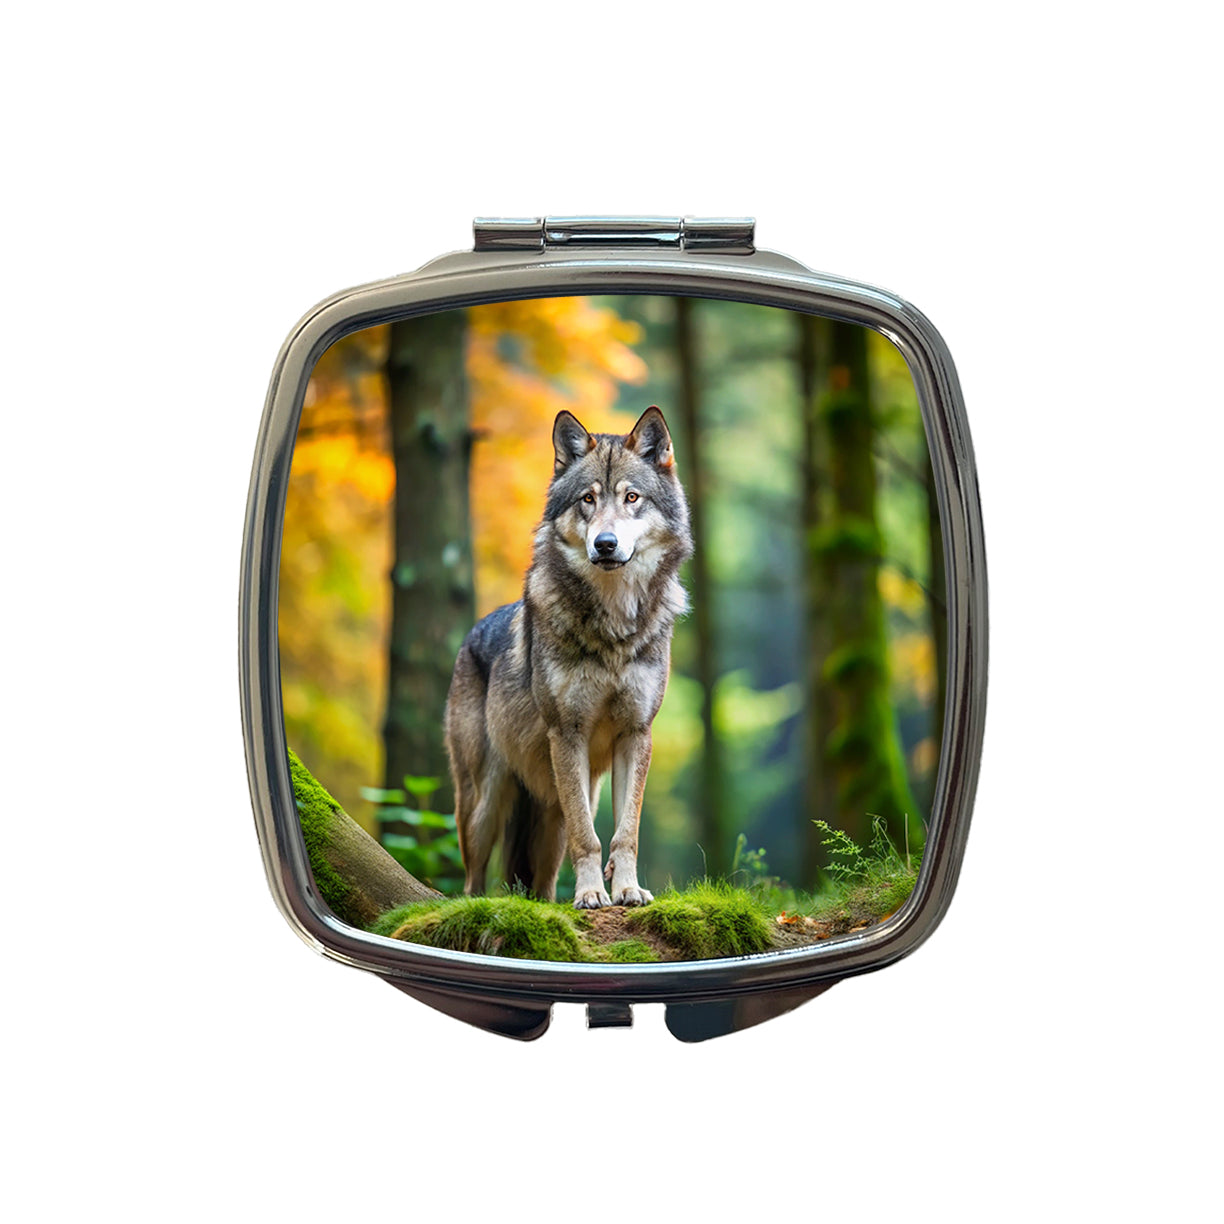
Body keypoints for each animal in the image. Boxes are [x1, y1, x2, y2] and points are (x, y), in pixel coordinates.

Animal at [445, 405, 693, 909]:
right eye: (588, 500)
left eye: (632, 497)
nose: (605, 544)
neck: (613, 627)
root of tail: (469, 637)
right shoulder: (567, 733)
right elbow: (589, 838)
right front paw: (593, 895)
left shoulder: (636, 734)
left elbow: (625, 833)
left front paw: (626, 889)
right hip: (485, 804)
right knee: (473, 875)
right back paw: (477, 905)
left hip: (554, 812)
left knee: (540, 885)